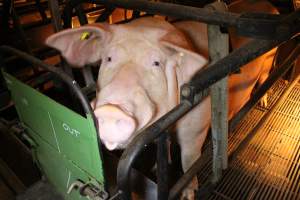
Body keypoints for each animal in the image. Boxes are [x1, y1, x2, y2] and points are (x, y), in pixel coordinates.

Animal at [45, 0, 278, 198]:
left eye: (156, 63)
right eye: (108, 58)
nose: (111, 110)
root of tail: (269, 6)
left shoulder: (196, 128)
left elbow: (188, 160)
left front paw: (188, 194)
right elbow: (163, 146)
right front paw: (157, 168)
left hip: (269, 62)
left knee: (264, 78)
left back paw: (263, 102)